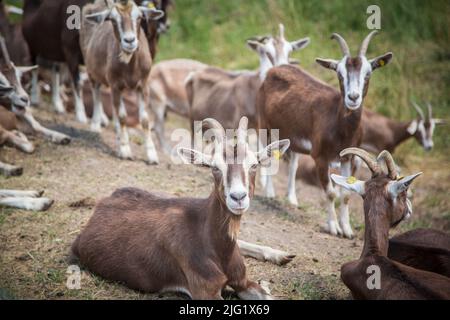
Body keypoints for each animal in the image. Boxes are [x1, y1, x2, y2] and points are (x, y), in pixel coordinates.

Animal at [69, 117, 288, 300]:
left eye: (254, 165)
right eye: (214, 167)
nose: (238, 197)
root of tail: (104, 201)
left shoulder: (243, 281)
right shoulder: (205, 290)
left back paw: (281, 255)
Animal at [80, 0, 163, 164]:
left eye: (140, 17)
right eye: (112, 20)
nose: (129, 41)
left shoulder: (143, 84)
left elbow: (144, 119)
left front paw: (152, 155)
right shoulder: (115, 85)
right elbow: (123, 116)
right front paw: (125, 151)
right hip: (91, 71)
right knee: (96, 93)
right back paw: (96, 125)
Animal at [258, 31, 392, 238]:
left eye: (368, 73)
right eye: (339, 73)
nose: (353, 97)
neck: (340, 126)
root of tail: (276, 68)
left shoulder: (349, 159)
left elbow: (346, 194)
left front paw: (347, 229)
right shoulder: (320, 157)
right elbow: (330, 193)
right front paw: (333, 227)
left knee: (292, 162)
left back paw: (291, 198)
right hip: (265, 126)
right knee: (269, 156)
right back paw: (269, 192)